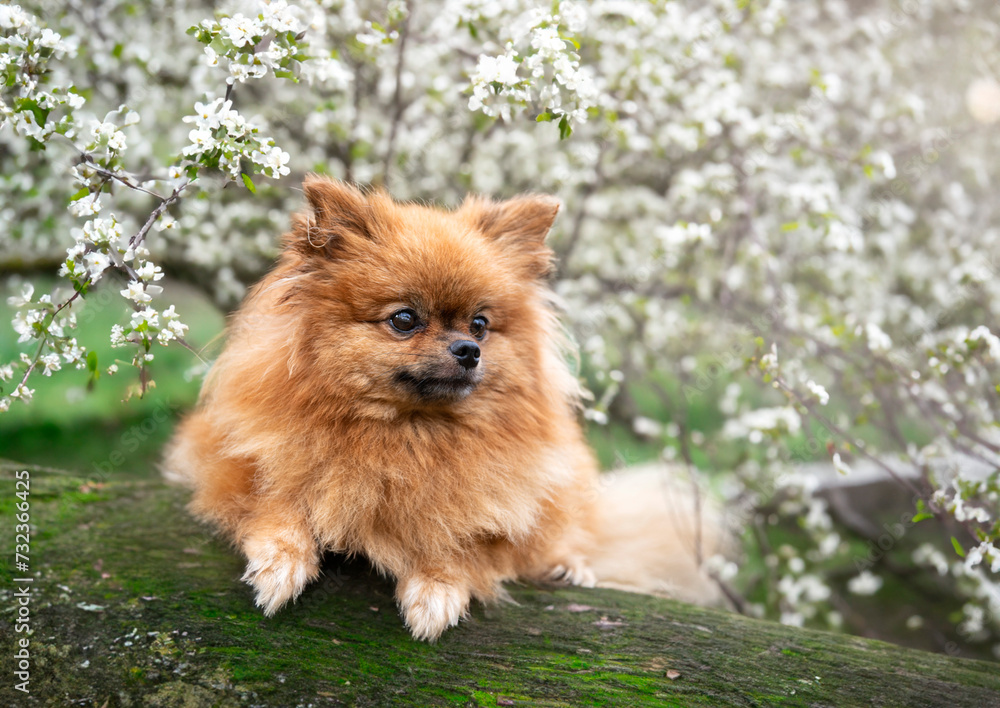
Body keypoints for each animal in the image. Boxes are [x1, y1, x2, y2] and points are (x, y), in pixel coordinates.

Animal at [166, 177, 728, 640]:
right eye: (405, 319)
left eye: (480, 324)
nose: (468, 349)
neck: (408, 435)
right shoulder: (229, 459)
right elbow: (276, 502)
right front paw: (280, 563)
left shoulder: (495, 504)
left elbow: (461, 537)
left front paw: (436, 587)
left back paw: (567, 565)